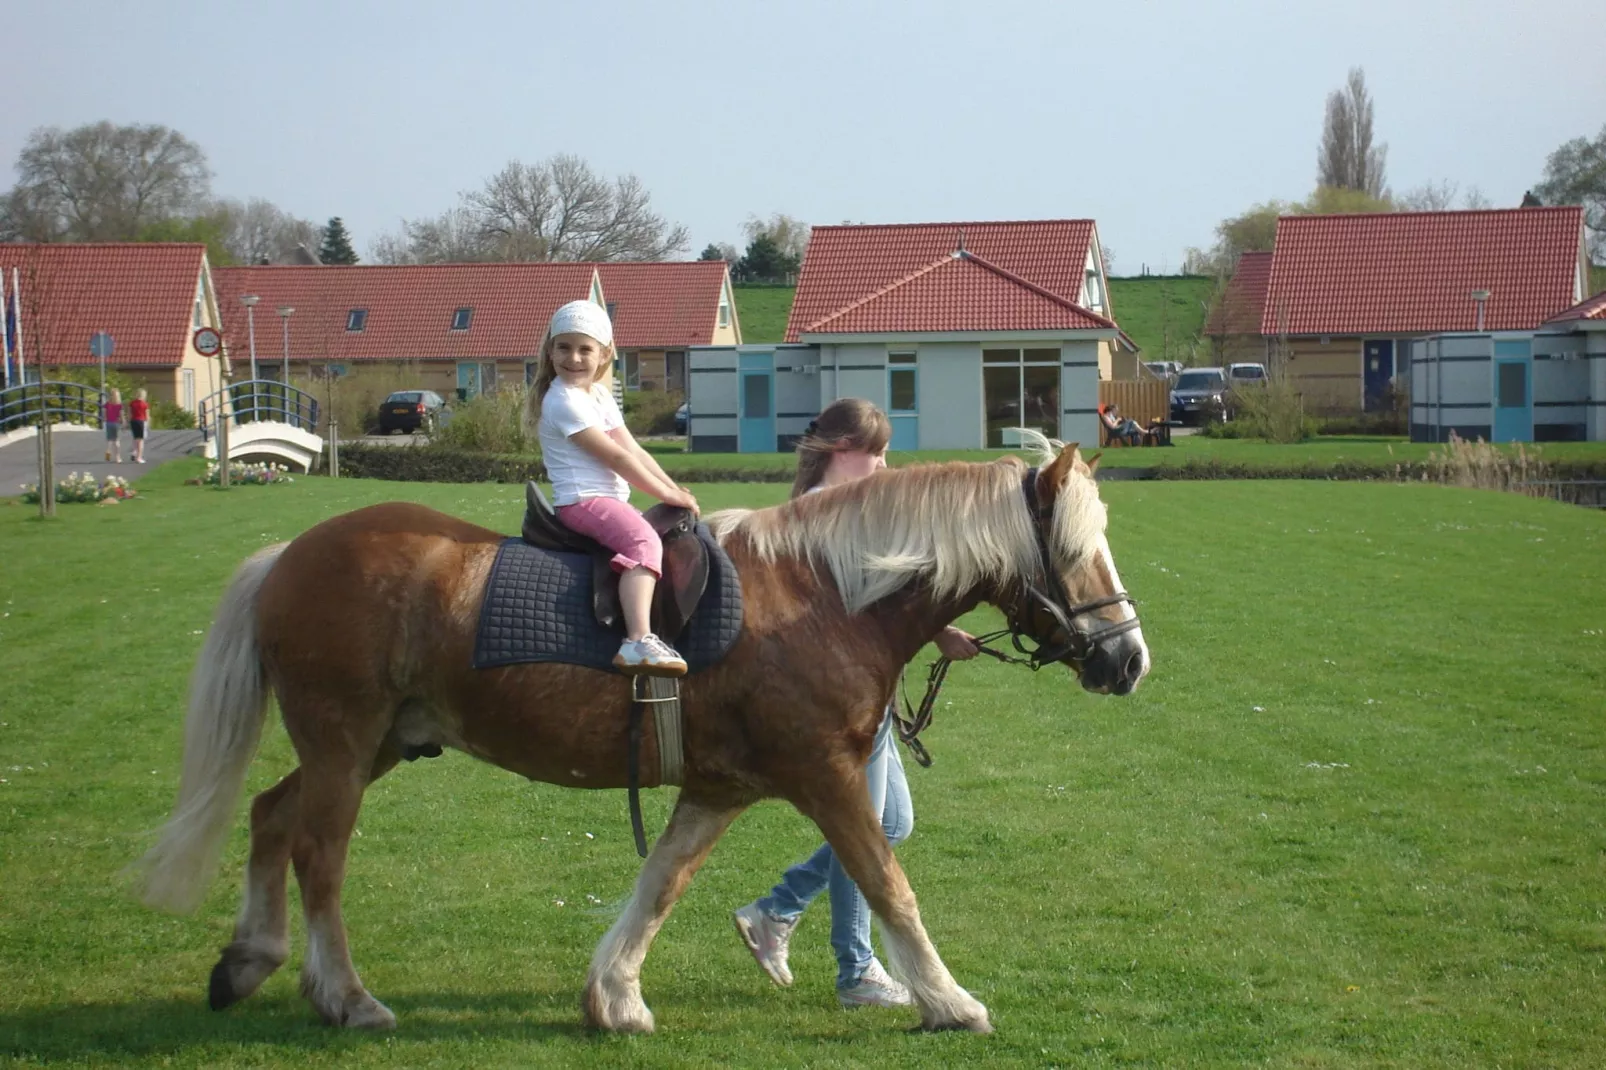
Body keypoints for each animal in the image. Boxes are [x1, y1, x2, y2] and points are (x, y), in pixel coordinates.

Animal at [134, 430, 1143, 1034]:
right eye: (1076, 549)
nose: (1128, 660)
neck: (822, 597)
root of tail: (291, 554)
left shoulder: (718, 788)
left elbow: (661, 883)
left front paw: (613, 996)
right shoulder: (824, 776)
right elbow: (888, 885)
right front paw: (949, 1000)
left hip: (370, 745)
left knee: (270, 817)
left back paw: (251, 961)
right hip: (344, 744)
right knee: (318, 856)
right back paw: (344, 995)